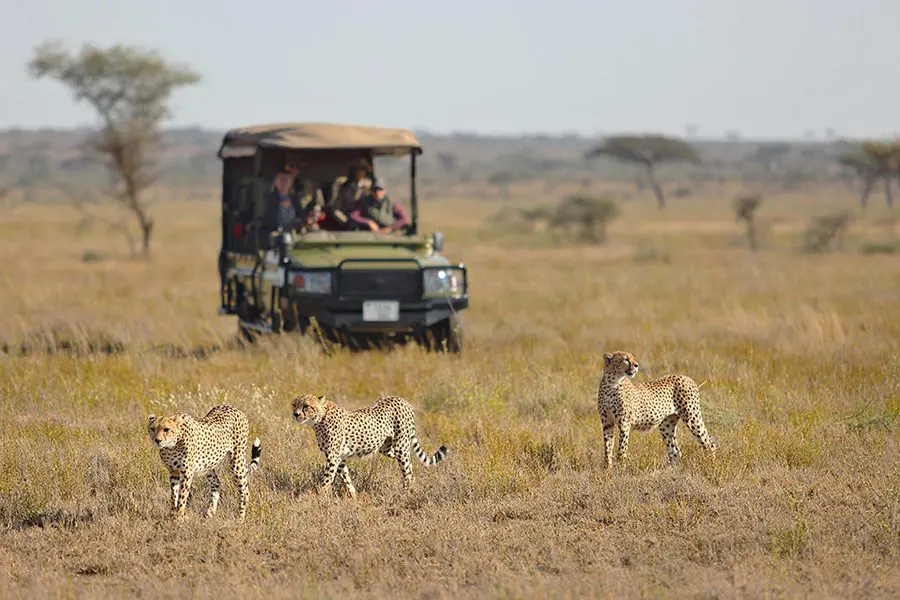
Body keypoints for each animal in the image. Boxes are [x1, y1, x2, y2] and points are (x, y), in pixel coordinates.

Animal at [290, 394, 448, 496]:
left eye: (306, 406)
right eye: (294, 404)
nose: (295, 414)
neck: (319, 418)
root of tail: (402, 400)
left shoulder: (333, 457)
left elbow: (326, 479)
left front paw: (319, 497)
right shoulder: (340, 458)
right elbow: (346, 478)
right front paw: (353, 496)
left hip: (400, 446)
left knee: (407, 472)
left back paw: (405, 494)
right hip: (387, 448)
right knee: (410, 466)